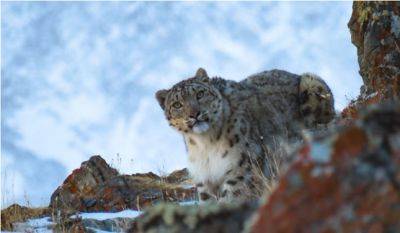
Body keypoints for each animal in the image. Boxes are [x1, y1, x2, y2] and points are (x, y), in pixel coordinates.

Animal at [155, 67, 334, 202]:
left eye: (199, 94)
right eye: (177, 104)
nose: (194, 114)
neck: (205, 144)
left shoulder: (241, 167)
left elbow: (230, 198)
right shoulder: (204, 179)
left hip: (311, 83)